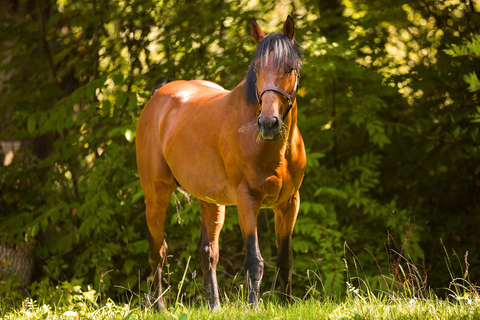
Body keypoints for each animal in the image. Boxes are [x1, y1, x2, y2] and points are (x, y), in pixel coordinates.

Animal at [135, 15, 306, 310]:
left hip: (210, 200)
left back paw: (213, 305)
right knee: (157, 249)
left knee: (208, 252)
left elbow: (285, 259)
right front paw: (253, 308)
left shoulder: (288, 203)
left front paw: (286, 304)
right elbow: (254, 261)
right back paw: (159, 307)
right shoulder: (248, 200)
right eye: (257, 68)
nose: (268, 123)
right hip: (156, 194)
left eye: (290, 68)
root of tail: (158, 97)